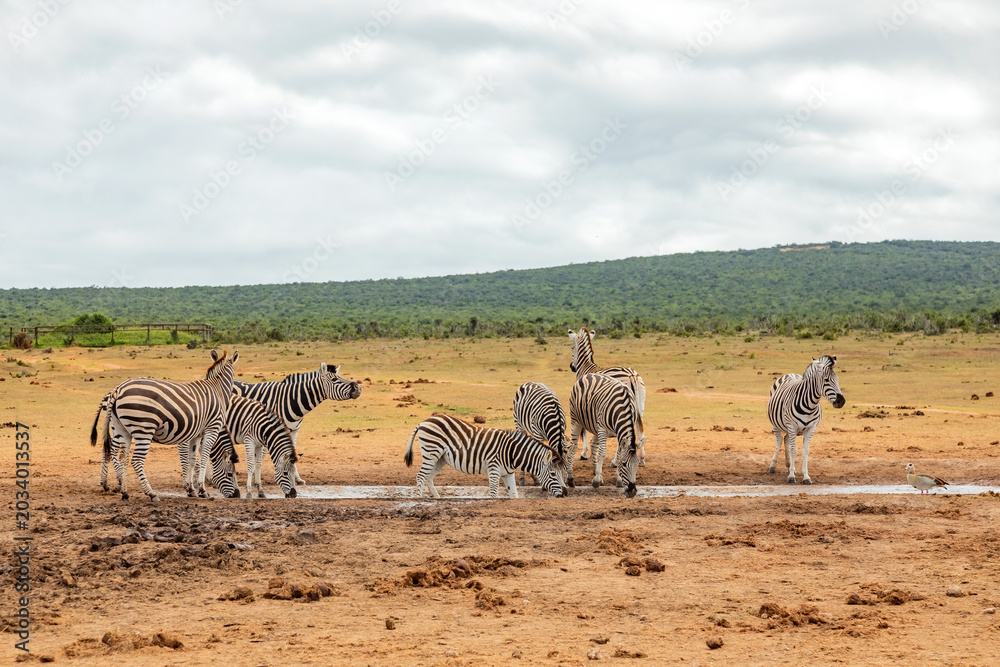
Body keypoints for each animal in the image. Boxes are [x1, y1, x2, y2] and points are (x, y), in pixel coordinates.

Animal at [89, 349, 240, 501]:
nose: (237, 495)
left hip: (122, 429)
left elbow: (192, 460)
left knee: (121, 457)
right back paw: (151, 493)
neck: (217, 389)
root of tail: (117, 390)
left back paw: (124, 492)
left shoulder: (196, 434)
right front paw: (203, 490)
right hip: (144, 429)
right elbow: (203, 458)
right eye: (230, 474)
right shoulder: (211, 429)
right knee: (136, 460)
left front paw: (191, 490)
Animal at [232, 363, 362, 485]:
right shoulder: (268, 429)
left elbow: (292, 452)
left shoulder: (293, 431)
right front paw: (256, 478)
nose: (358, 388)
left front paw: (297, 478)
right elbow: (261, 456)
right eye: (335, 379)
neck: (289, 400)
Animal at [403, 413, 567, 499]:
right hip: (431, 453)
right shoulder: (493, 470)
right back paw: (419, 499)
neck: (512, 453)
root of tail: (424, 421)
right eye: (553, 474)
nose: (565, 493)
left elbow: (514, 495)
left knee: (428, 477)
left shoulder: (508, 474)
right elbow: (494, 495)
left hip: (440, 458)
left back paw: (437, 498)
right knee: (421, 476)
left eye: (562, 473)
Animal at [568, 327, 647, 466]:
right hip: (639, 405)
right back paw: (641, 459)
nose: (571, 367)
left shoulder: (582, 403)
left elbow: (584, 428)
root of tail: (632, 375)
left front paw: (584, 454)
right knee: (639, 429)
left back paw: (615, 461)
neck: (585, 367)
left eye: (572, 348)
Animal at [767, 355, 846, 484]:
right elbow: (793, 450)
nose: (841, 401)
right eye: (826, 380)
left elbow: (805, 451)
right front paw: (791, 477)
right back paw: (773, 466)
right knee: (779, 441)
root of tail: (790, 374)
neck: (810, 405)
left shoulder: (810, 428)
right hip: (776, 424)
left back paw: (789, 466)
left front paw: (806, 476)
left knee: (786, 440)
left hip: (791, 429)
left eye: (837, 379)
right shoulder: (792, 426)